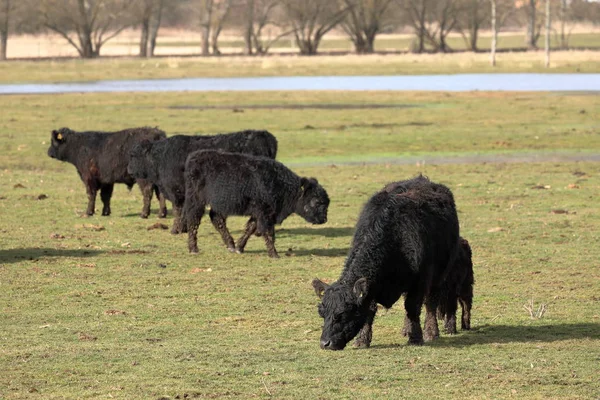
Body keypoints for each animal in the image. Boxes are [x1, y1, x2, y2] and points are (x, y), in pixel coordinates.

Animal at [127, 130, 278, 234]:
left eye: (134, 155)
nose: (128, 169)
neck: (160, 157)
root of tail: (262, 135)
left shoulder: (176, 192)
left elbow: (178, 211)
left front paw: (176, 230)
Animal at [185, 148, 330, 258]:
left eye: (327, 202)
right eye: (316, 201)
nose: (324, 219)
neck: (282, 185)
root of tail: (194, 157)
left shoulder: (260, 213)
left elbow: (250, 228)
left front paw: (239, 248)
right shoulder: (265, 214)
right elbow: (269, 233)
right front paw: (274, 254)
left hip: (218, 205)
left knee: (216, 218)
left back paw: (230, 245)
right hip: (196, 201)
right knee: (194, 221)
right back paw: (194, 249)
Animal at [314, 176, 460, 350]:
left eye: (341, 314)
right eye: (322, 313)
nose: (325, 343)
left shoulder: (420, 280)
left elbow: (413, 307)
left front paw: (416, 337)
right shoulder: (372, 287)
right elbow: (370, 310)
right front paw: (362, 340)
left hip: (440, 273)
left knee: (430, 301)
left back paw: (431, 332)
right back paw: (406, 329)